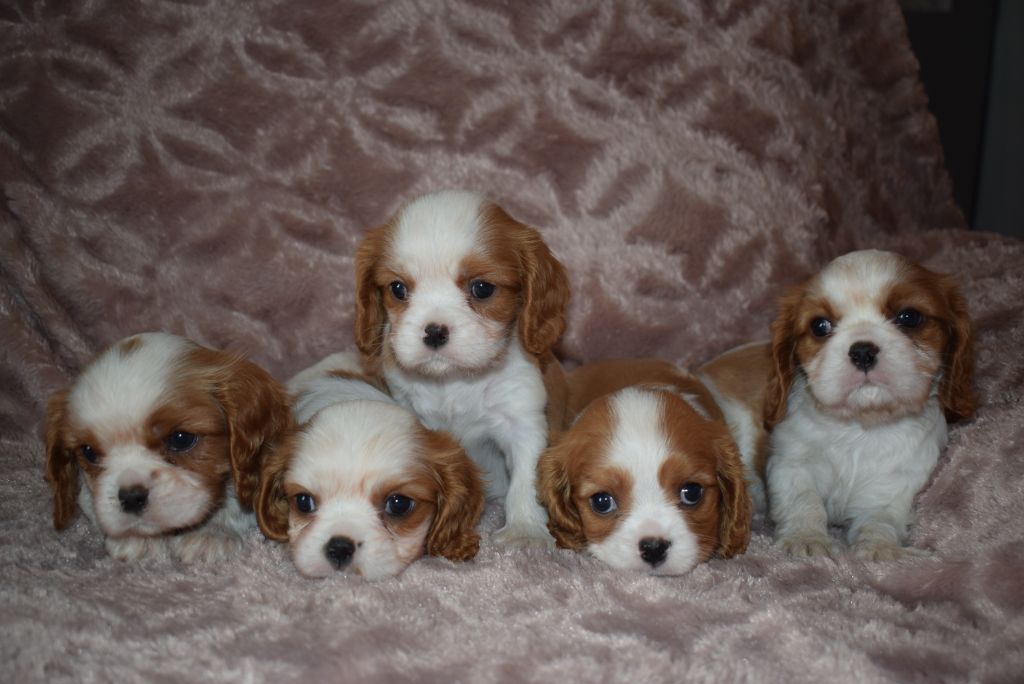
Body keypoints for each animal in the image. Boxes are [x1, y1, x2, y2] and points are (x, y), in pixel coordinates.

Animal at [356, 189, 573, 548]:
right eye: (398, 289)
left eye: (482, 288)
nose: (434, 331)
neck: (454, 379)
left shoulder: (522, 419)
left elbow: (526, 479)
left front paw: (525, 530)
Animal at [770, 250, 974, 561]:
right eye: (820, 326)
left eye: (909, 317)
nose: (863, 351)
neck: (861, 425)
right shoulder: (791, 462)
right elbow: (803, 500)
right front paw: (804, 539)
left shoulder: (898, 482)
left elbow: (880, 517)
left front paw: (880, 549)